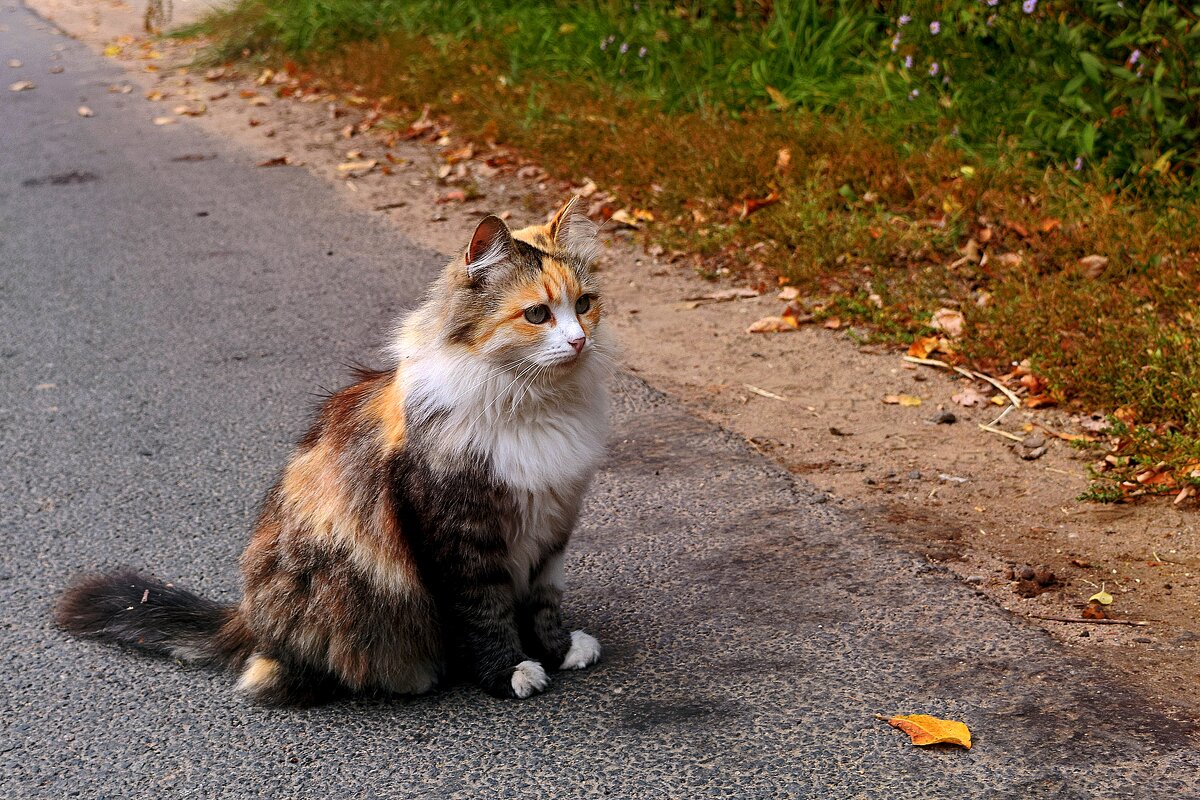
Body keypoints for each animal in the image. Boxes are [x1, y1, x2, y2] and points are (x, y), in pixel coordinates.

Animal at [58, 199, 609, 705]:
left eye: (584, 305)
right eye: (537, 314)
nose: (579, 341)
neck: (533, 407)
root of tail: (249, 619)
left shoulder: (552, 524)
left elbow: (543, 604)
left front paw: (559, 650)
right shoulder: (459, 535)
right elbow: (484, 614)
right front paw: (509, 671)